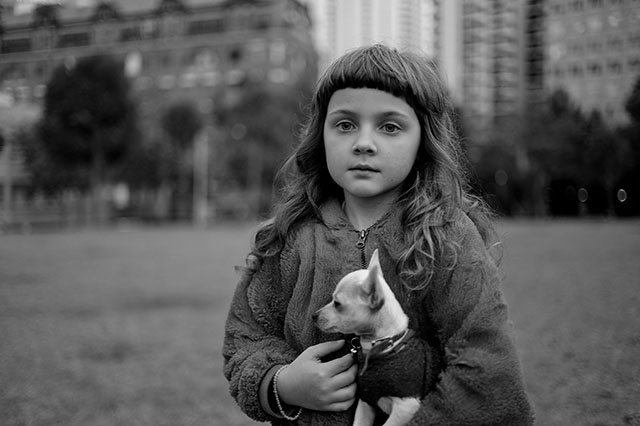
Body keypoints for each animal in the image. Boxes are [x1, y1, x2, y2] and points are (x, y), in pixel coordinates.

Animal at [314, 250, 428, 426]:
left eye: (337, 303)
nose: (314, 316)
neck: (384, 344)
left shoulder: (406, 407)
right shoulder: (366, 402)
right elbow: (360, 422)